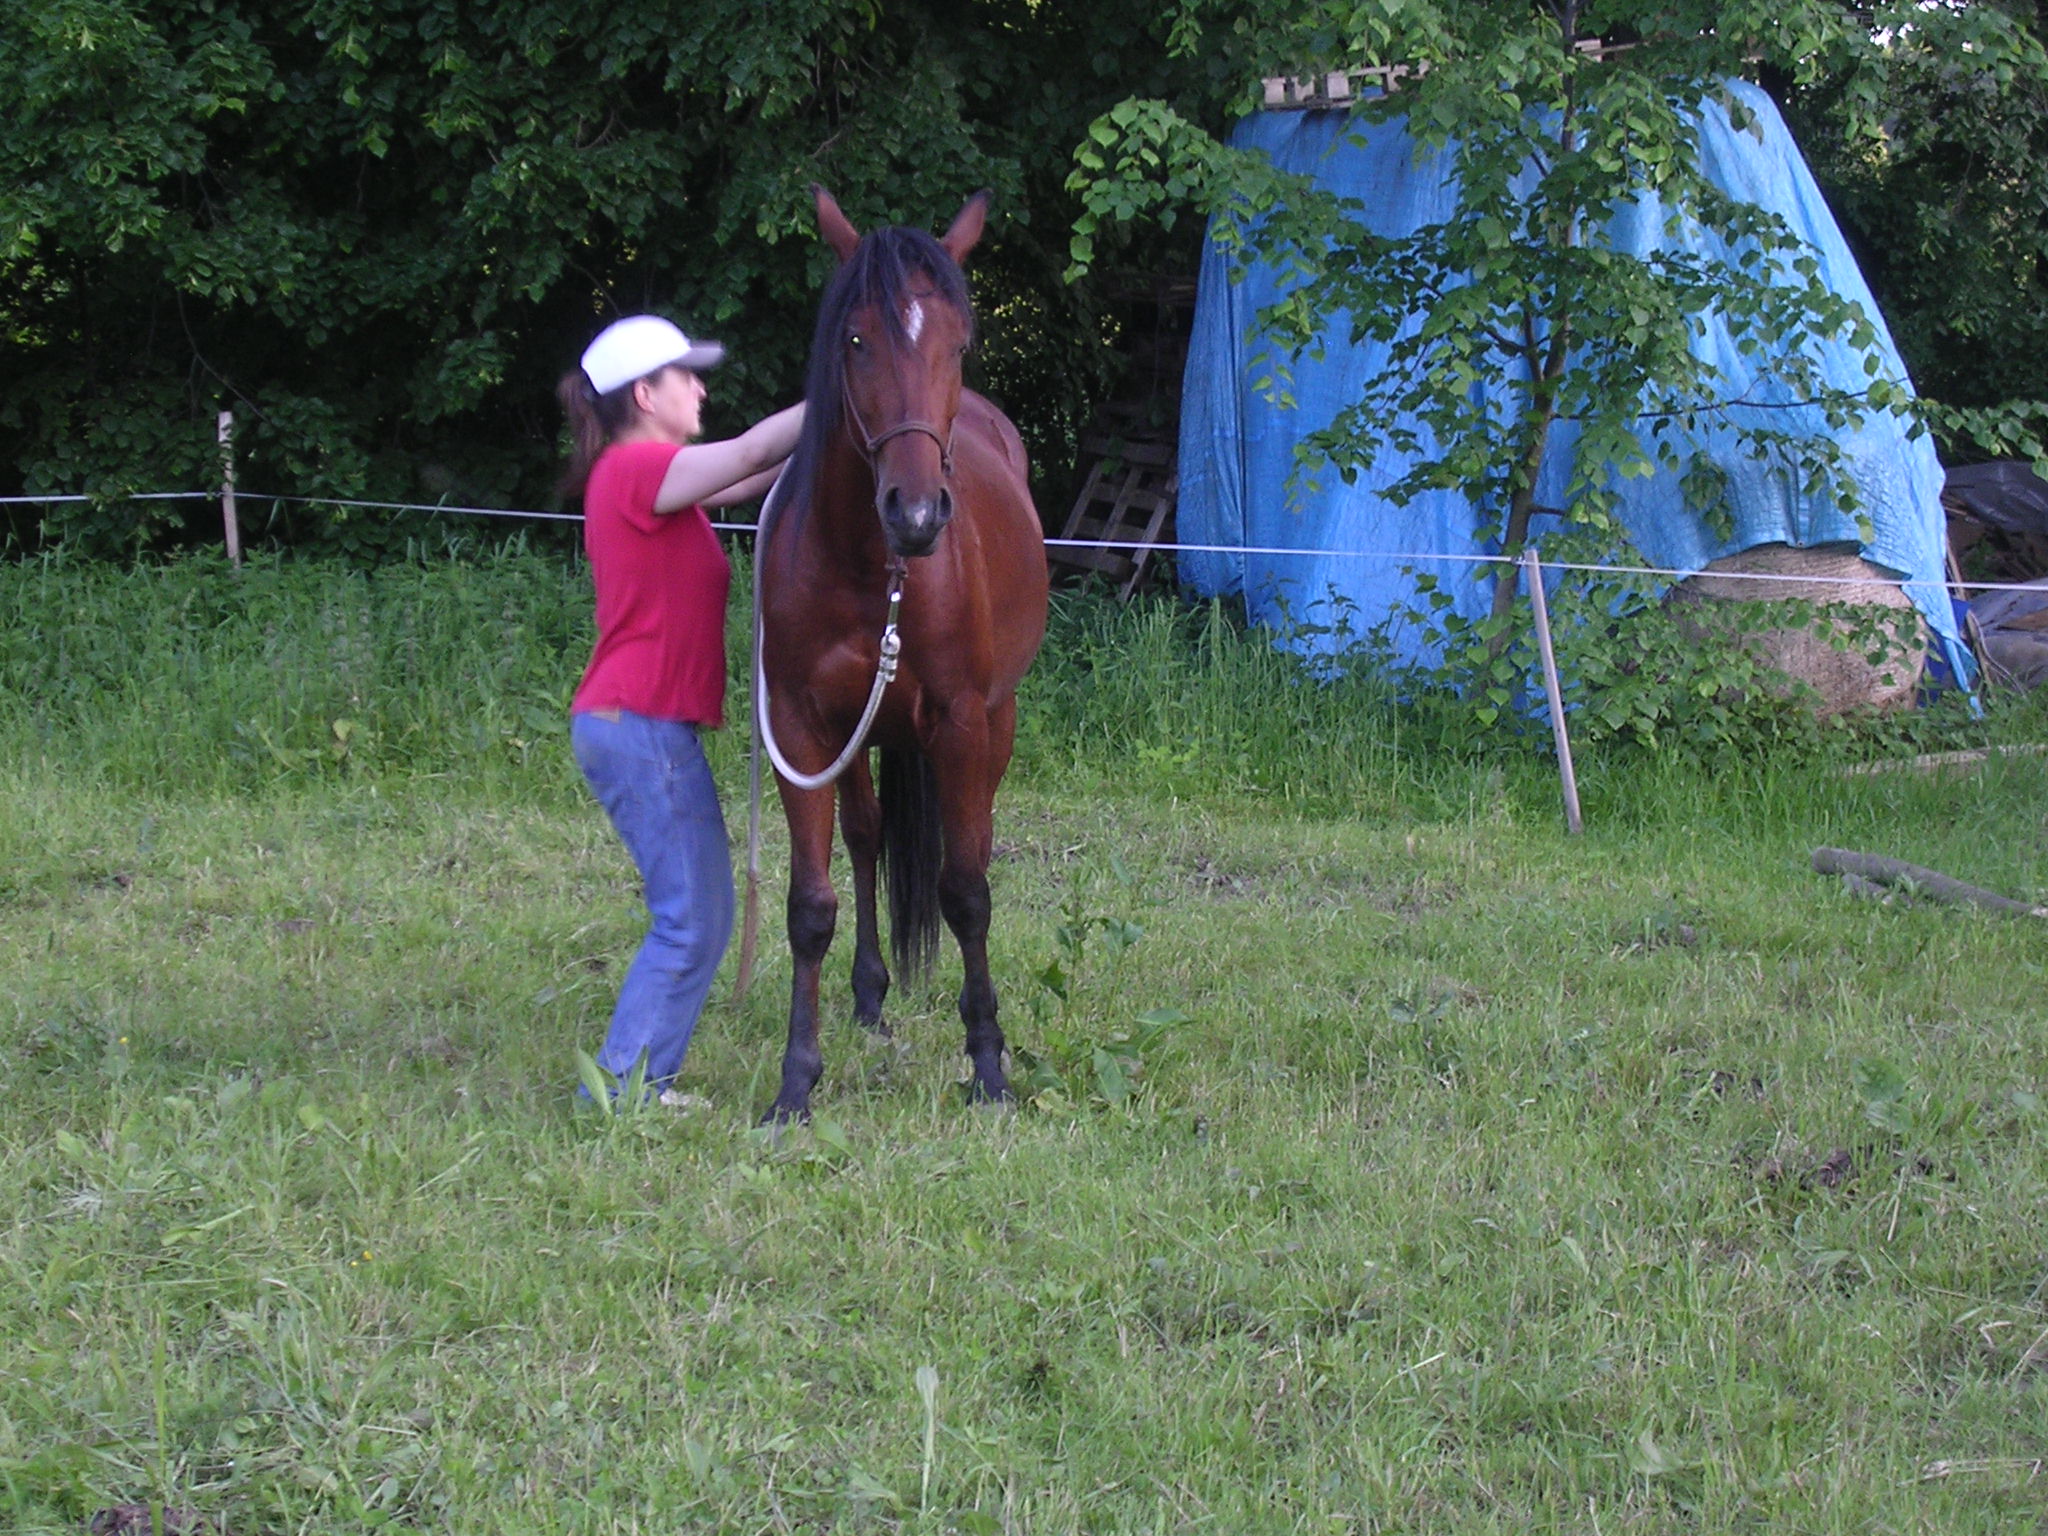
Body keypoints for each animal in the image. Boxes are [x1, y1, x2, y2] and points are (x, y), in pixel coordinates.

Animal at [749, 189, 1040, 1130]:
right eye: (855, 339)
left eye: (960, 341)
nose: (915, 511)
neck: (868, 566)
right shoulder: (803, 730)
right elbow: (811, 906)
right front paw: (795, 1083)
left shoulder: (959, 724)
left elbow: (967, 891)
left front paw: (988, 1065)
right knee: (869, 837)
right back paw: (871, 994)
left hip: (995, 725)